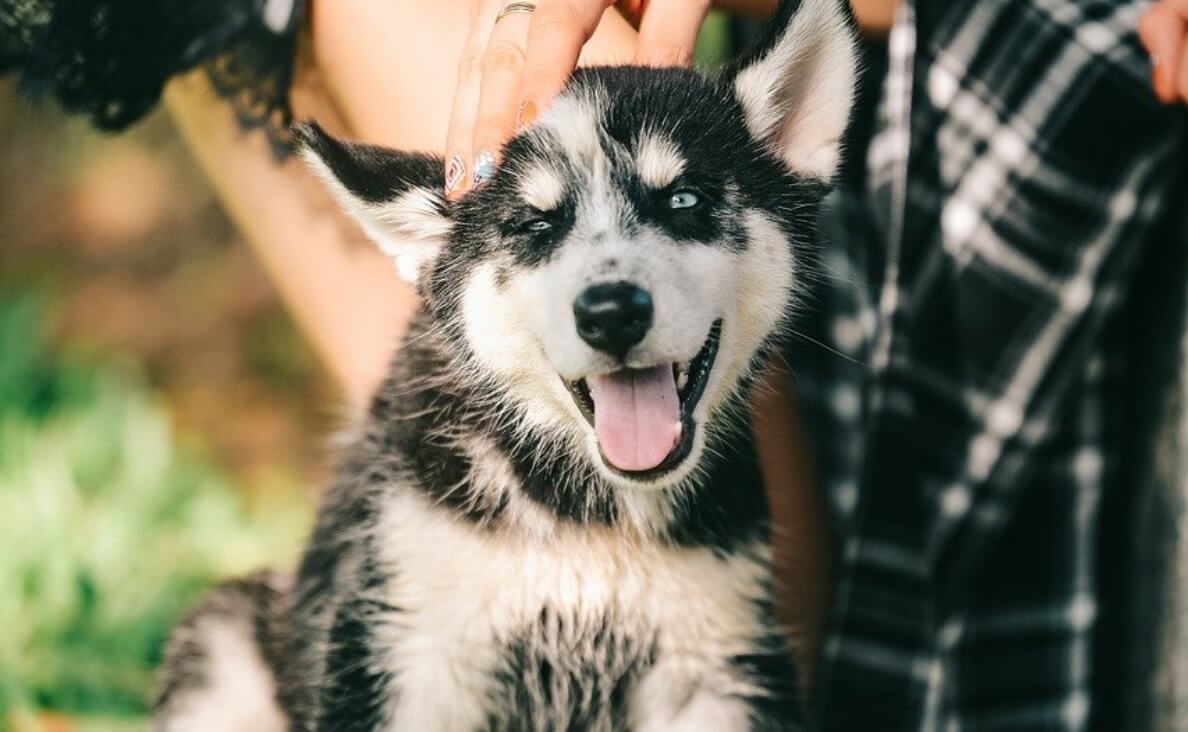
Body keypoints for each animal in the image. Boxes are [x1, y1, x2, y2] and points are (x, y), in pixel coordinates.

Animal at [150, 2, 855, 727]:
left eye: (684, 200)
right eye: (535, 225)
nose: (611, 313)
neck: (587, 522)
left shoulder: (715, 668)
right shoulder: (403, 650)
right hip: (224, 638)